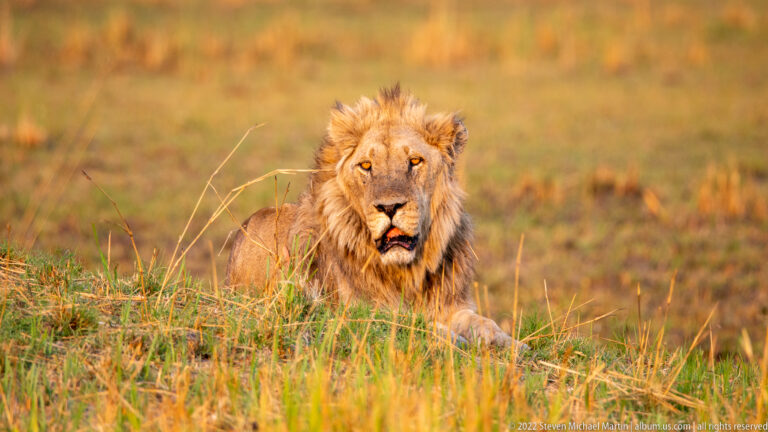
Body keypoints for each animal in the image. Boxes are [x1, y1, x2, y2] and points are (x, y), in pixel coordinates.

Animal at [226, 85, 518, 348]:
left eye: (415, 161)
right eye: (366, 165)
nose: (389, 207)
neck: (405, 272)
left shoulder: (452, 305)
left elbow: (485, 324)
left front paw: (513, 344)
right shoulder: (359, 311)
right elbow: (412, 322)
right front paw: (454, 338)